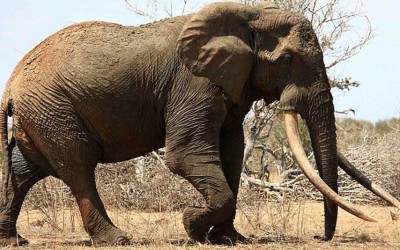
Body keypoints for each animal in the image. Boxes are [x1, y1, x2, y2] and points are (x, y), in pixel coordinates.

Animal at [0, 1, 400, 247]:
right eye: (287, 59)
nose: (321, 238)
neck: (247, 14)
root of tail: (11, 87)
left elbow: (232, 153)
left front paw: (229, 239)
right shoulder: (192, 83)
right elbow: (185, 154)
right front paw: (192, 223)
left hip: (41, 115)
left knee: (24, 170)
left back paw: (13, 240)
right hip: (55, 111)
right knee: (78, 167)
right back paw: (118, 239)